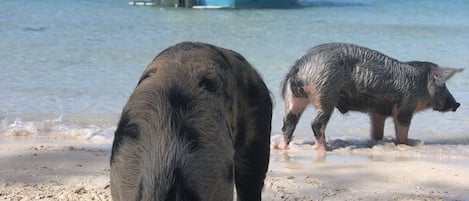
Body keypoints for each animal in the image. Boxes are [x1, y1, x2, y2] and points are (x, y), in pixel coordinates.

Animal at [278, 42, 460, 152]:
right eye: (443, 85)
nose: (457, 104)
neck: (419, 83)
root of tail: (299, 64)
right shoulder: (405, 107)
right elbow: (402, 130)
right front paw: (407, 144)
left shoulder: (377, 112)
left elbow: (377, 132)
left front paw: (377, 140)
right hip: (325, 92)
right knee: (316, 123)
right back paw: (325, 148)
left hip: (297, 97)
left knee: (288, 123)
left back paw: (281, 147)